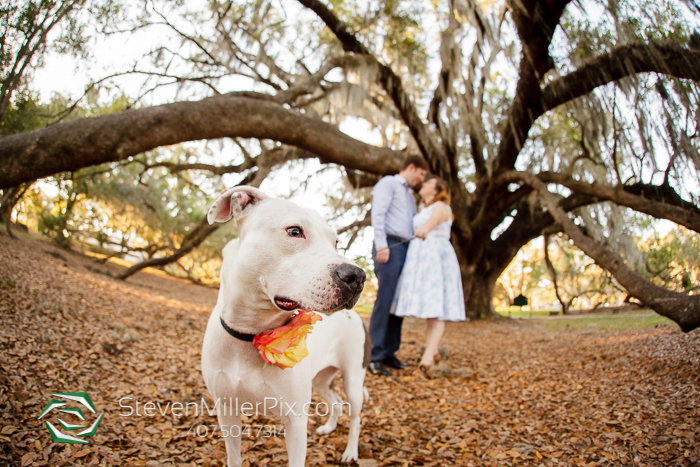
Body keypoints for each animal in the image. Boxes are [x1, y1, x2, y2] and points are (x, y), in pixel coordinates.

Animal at [201, 186, 370, 467]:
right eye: (294, 231)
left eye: (335, 242)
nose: (357, 276)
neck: (251, 332)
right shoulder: (226, 411)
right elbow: (234, 457)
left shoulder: (295, 422)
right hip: (321, 379)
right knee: (335, 401)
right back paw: (329, 427)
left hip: (354, 379)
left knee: (355, 417)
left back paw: (351, 451)